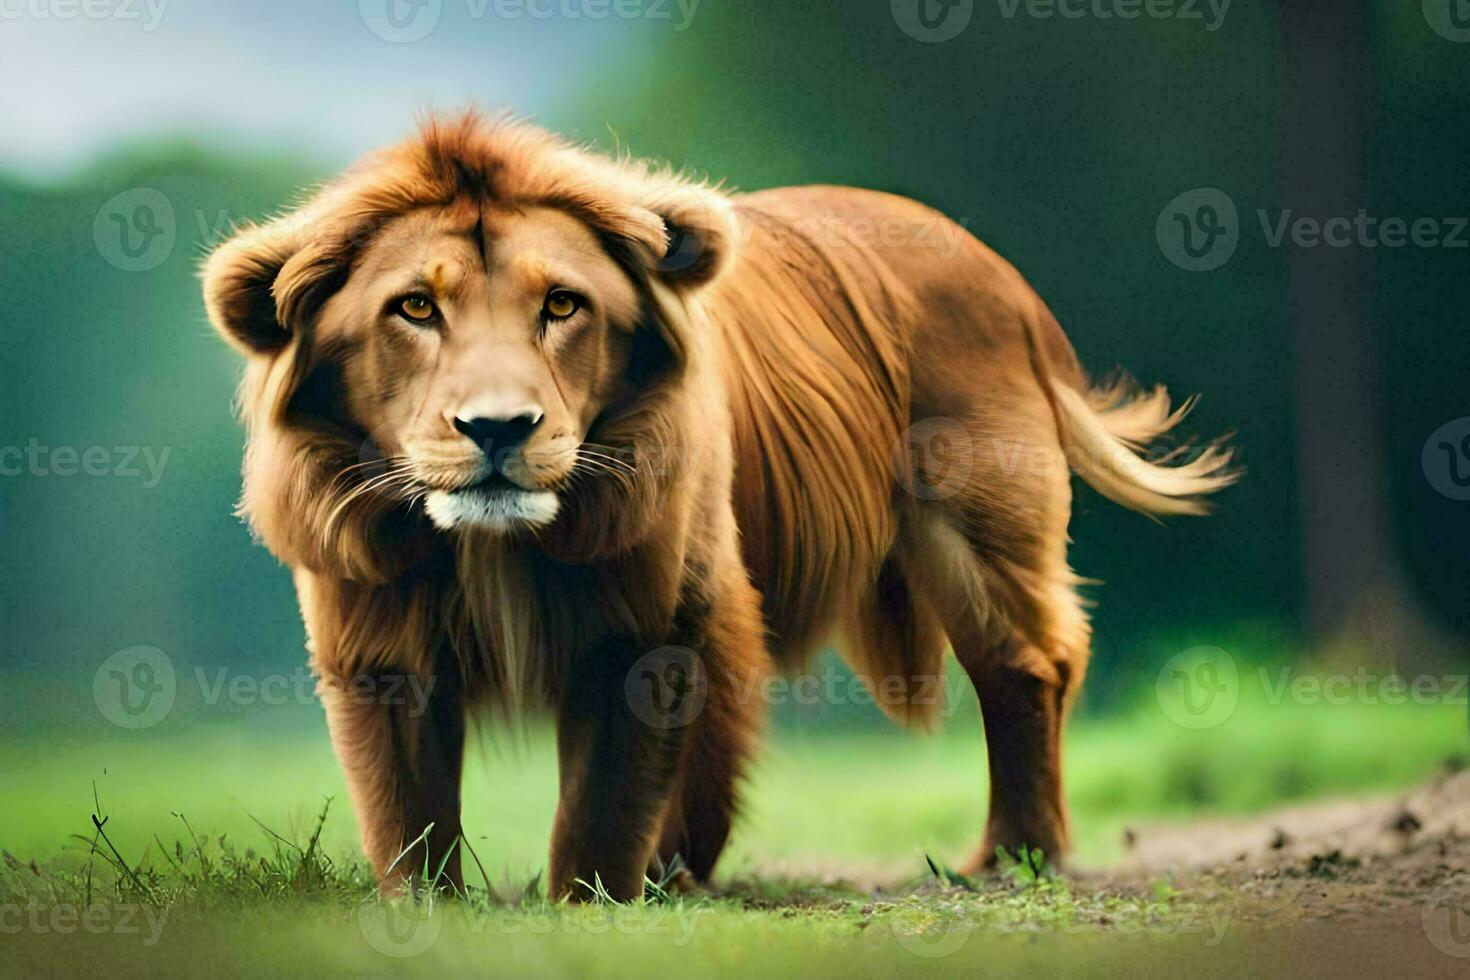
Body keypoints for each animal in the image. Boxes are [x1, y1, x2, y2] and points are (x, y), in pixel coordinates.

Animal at [201, 110, 1234, 899]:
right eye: (415, 308)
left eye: (562, 306)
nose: (499, 428)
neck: (495, 549)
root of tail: (1003, 277)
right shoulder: (376, 638)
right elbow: (405, 807)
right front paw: (426, 910)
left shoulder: (658, 620)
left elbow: (608, 798)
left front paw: (593, 900)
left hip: (975, 523)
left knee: (1027, 668)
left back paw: (1013, 858)